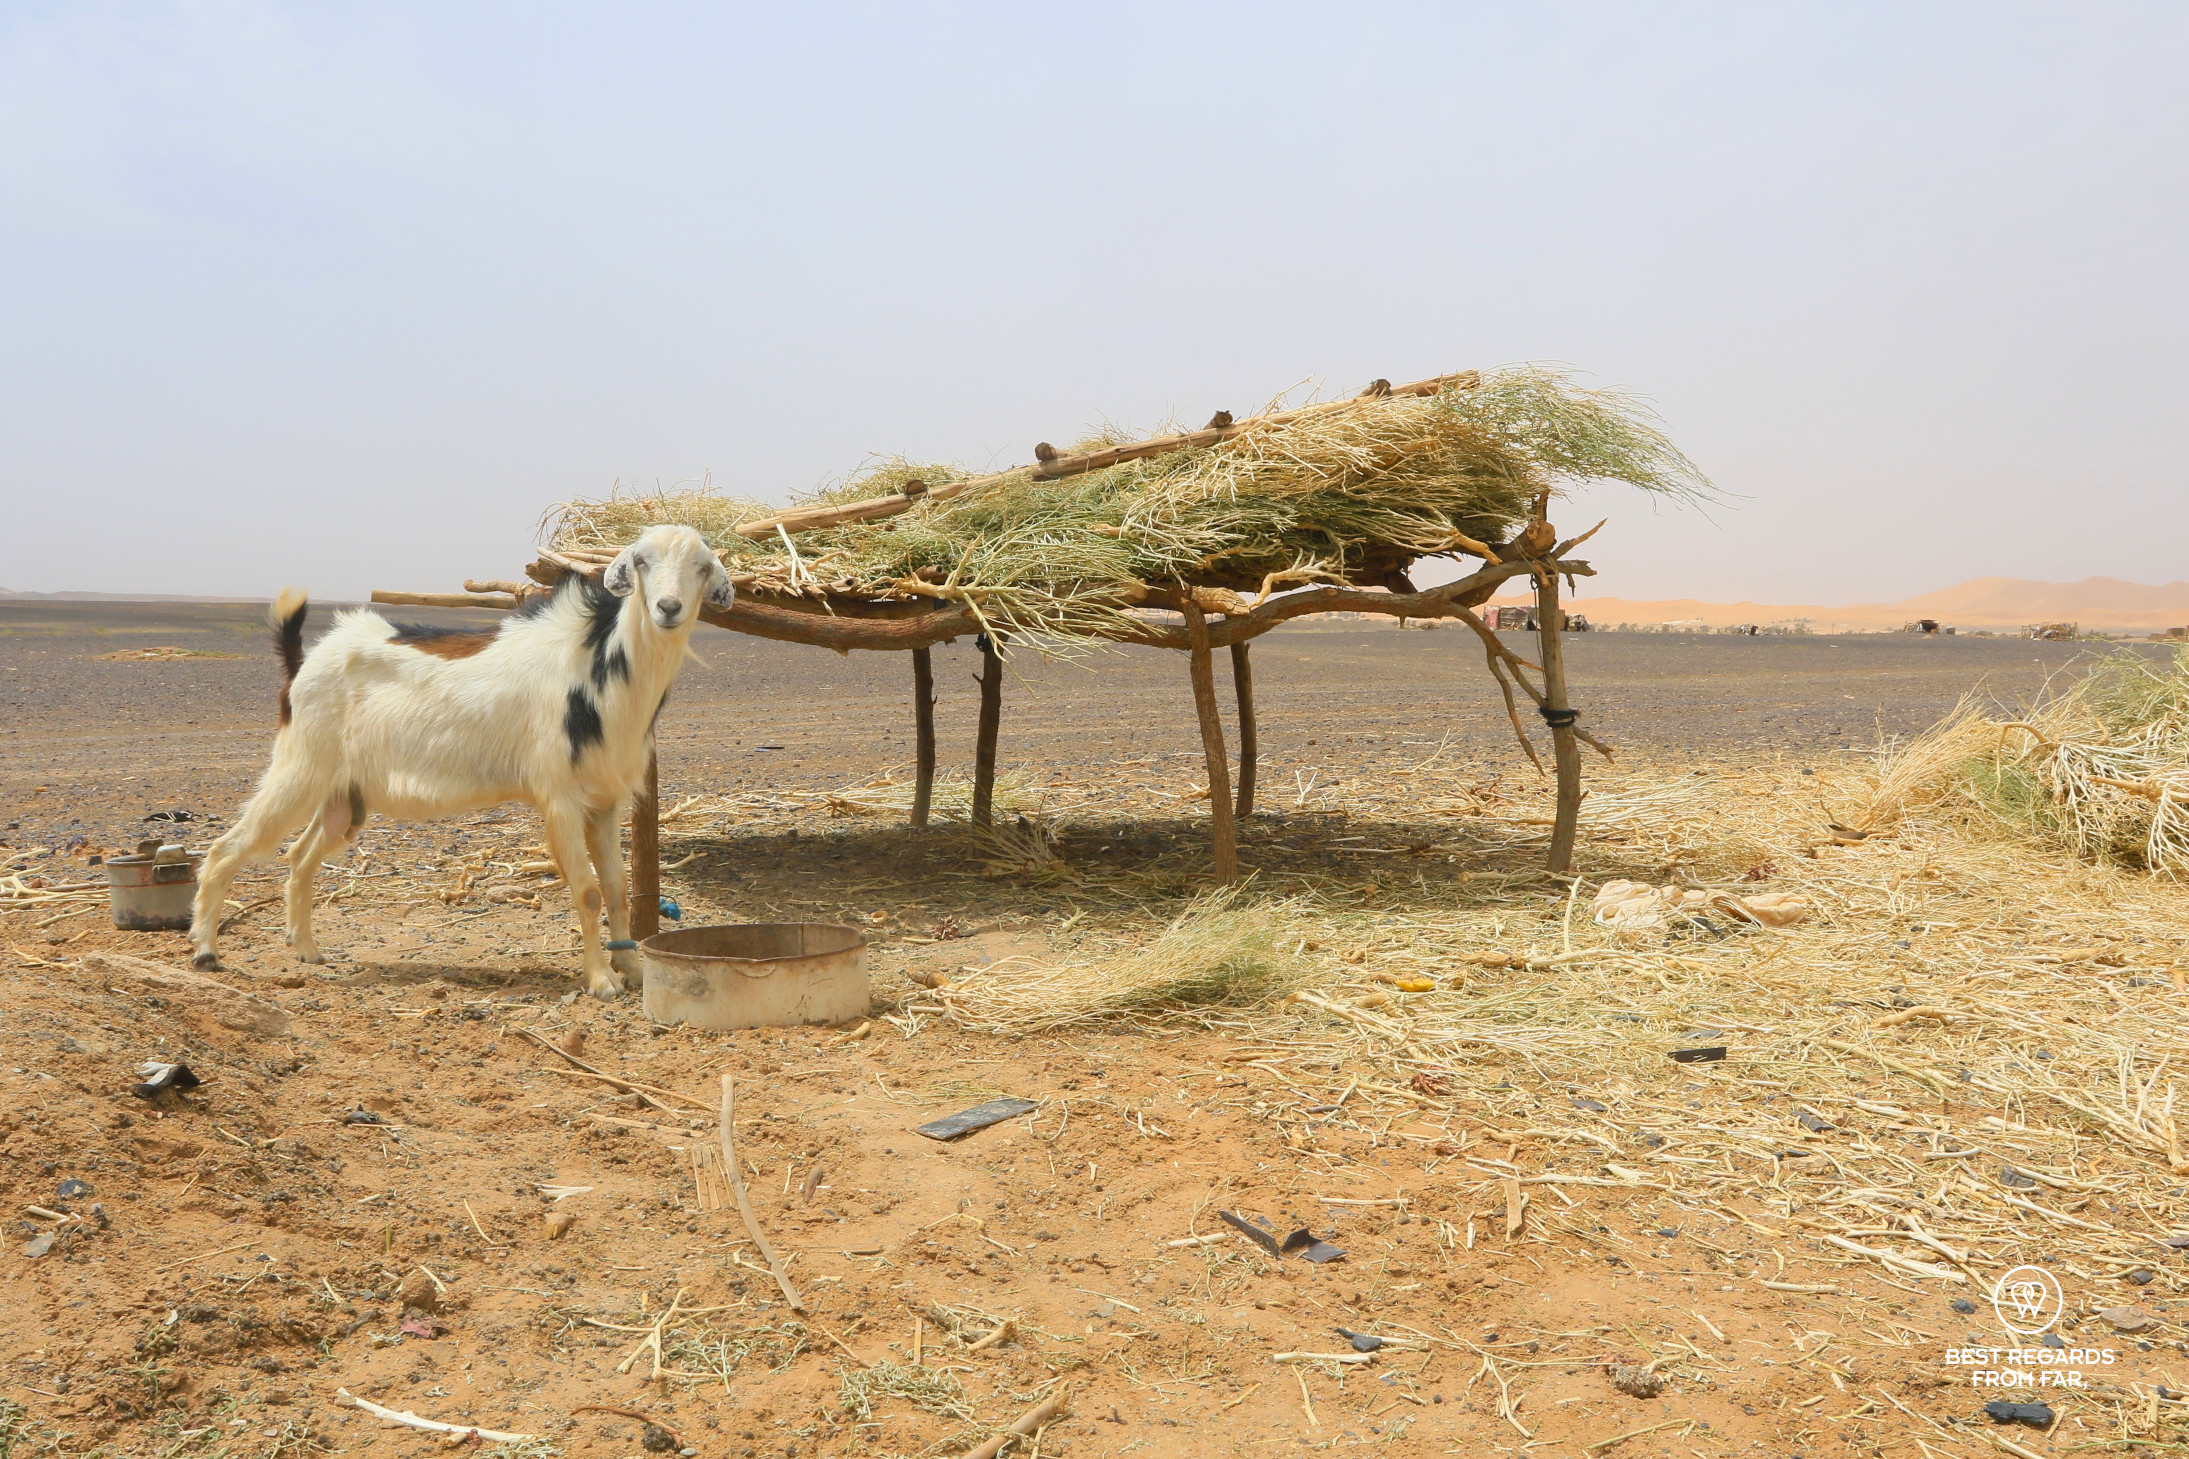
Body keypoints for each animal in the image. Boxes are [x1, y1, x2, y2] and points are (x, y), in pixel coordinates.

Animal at [187, 525, 733, 998]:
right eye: (641, 561)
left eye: (703, 566)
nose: (668, 607)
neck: (597, 664)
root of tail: (302, 664)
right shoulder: (558, 798)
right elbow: (587, 891)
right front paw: (601, 981)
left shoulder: (604, 800)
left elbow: (617, 888)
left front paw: (633, 968)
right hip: (299, 767)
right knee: (226, 848)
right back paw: (205, 952)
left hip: (344, 795)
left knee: (301, 856)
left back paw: (306, 949)